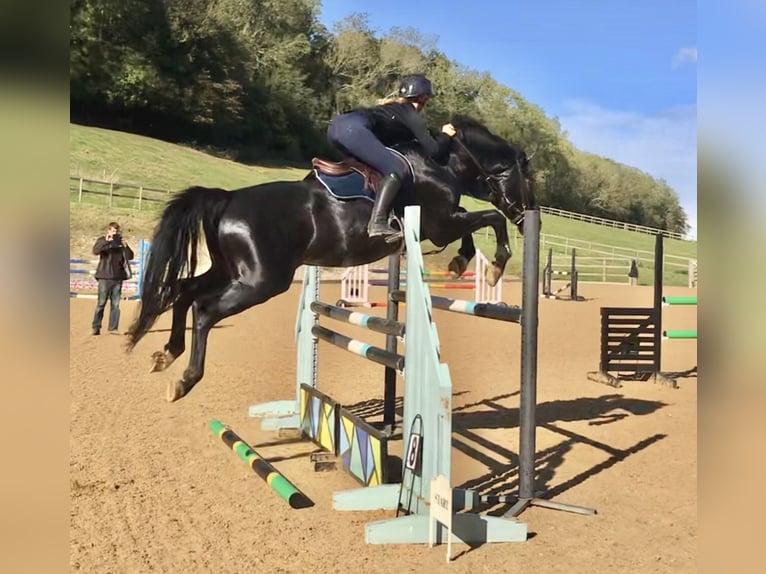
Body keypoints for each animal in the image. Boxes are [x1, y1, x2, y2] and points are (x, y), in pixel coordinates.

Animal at [126, 116, 540, 402]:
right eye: (529, 180)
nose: (527, 215)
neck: (441, 163)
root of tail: (227, 198)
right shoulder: (440, 224)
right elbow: (489, 218)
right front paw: (495, 265)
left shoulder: (441, 224)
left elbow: (476, 222)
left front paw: (460, 262)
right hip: (260, 281)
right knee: (204, 310)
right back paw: (185, 380)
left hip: (231, 271)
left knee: (183, 291)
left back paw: (167, 354)